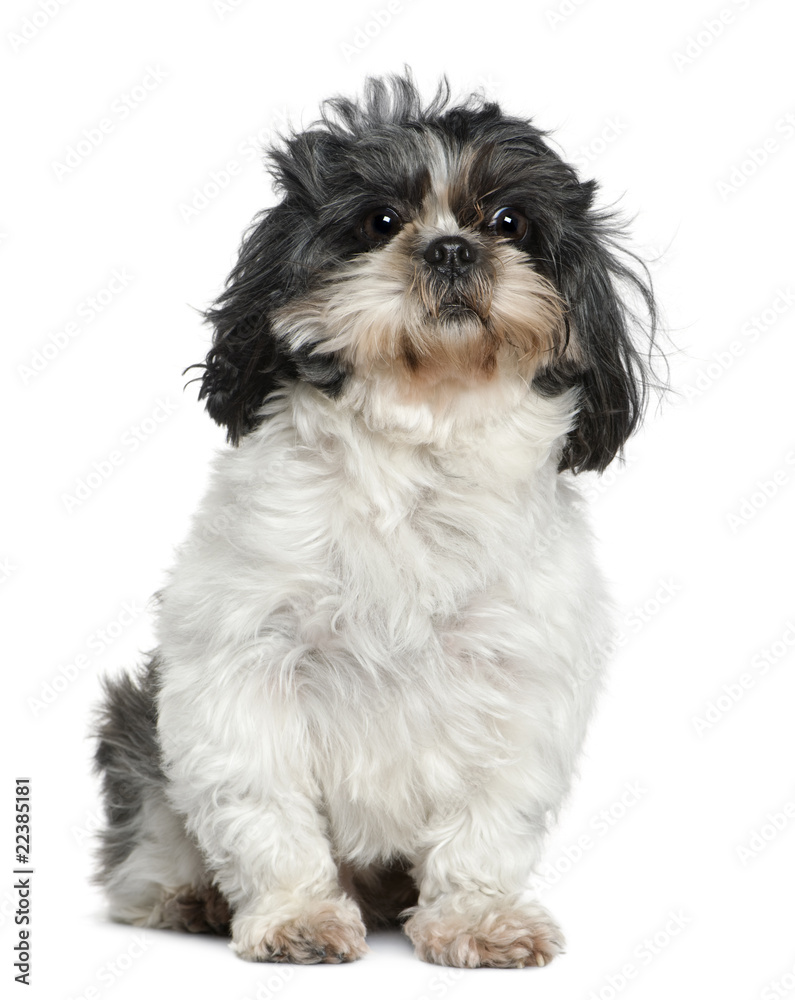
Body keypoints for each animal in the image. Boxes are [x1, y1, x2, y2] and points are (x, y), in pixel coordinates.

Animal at [95, 74, 660, 964]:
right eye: (380, 222)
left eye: (509, 222)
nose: (451, 248)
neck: (420, 446)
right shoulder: (242, 665)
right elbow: (264, 809)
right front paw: (294, 915)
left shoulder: (516, 679)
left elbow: (485, 823)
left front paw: (475, 919)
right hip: (135, 728)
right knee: (154, 838)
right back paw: (192, 896)